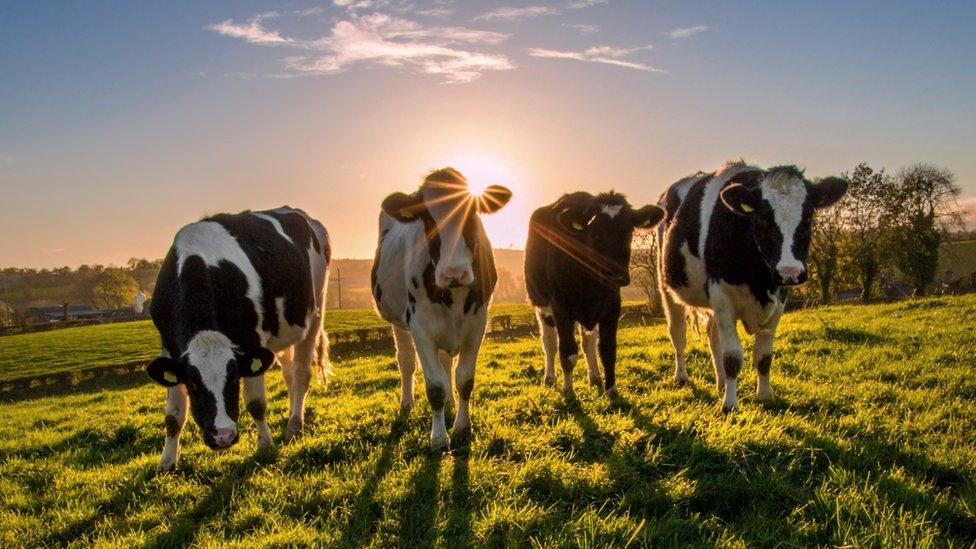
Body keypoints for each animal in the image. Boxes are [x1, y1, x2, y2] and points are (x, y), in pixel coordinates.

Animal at [143, 206, 330, 470]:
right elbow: (173, 416)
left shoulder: (252, 340)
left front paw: (265, 446)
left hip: (315, 310)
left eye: (233, 379)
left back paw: (294, 424)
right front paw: (167, 463)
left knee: (302, 372)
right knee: (289, 372)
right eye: (192, 385)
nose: (223, 436)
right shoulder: (170, 348)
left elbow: (256, 403)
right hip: (282, 331)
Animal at [370, 167, 516, 450]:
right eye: (427, 219)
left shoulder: (477, 324)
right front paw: (438, 437)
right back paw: (407, 402)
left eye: (473, 214)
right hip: (397, 320)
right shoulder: (420, 327)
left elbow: (465, 379)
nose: (453, 273)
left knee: (446, 361)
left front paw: (463, 426)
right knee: (406, 361)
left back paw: (450, 401)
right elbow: (434, 386)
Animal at [528, 191, 664, 396]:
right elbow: (567, 352)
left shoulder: (611, 307)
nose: (617, 276)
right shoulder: (561, 308)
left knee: (588, 343)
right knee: (549, 343)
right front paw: (569, 391)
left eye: (628, 232)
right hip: (541, 305)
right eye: (596, 234)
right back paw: (550, 378)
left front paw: (611, 390)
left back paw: (594, 377)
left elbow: (607, 350)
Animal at [656, 161, 848, 408]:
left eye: (808, 217)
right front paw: (730, 405)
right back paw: (681, 376)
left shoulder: (778, 299)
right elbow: (732, 357)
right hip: (667, 289)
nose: (790, 272)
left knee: (712, 336)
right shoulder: (722, 295)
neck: (759, 280)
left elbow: (764, 357)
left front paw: (764, 396)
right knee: (677, 333)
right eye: (763, 219)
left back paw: (721, 383)